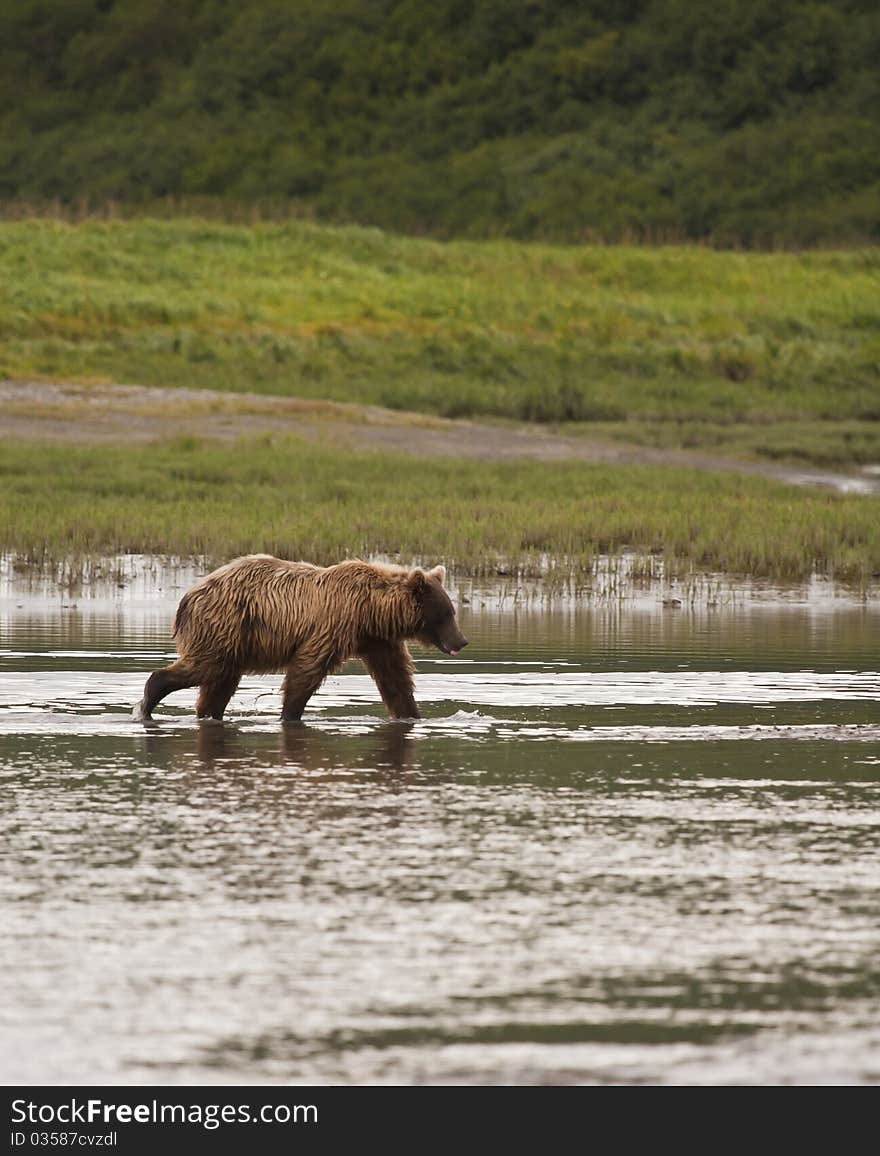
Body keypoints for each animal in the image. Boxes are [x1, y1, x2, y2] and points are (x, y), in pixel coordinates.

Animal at [132, 552, 467, 721]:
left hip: (234, 640)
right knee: (204, 667)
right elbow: (307, 669)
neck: (372, 610)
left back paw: (206, 713)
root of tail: (188, 595)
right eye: (446, 614)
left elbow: (395, 679)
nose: (462, 641)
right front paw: (290, 714)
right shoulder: (334, 624)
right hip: (224, 626)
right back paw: (148, 700)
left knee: (218, 683)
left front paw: (413, 715)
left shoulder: (377, 640)